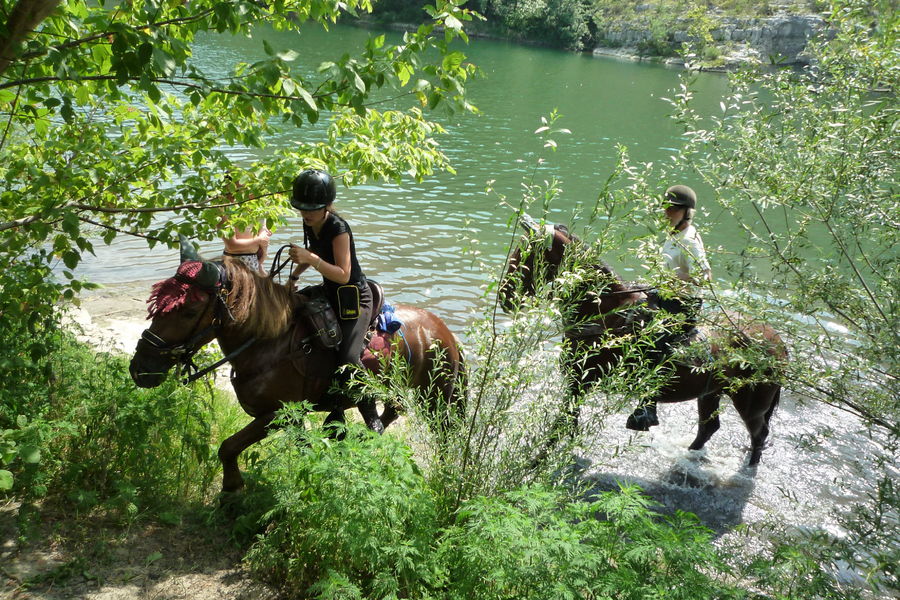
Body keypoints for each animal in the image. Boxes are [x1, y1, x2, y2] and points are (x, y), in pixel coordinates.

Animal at [132, 239, 464, 492]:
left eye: (189, 311)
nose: (140, 368)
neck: (267, 341)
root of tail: (445, 332)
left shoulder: (276, 414)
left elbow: (228, 446)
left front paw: (232, 488)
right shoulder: (290, 417)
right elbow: (293, 448)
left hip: (436, 399)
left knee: (444, 435)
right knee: (393, 410)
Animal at [500, 220, 788, 464]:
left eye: (527, 253)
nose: (505, 296)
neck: (606, 312)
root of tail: (777, 342)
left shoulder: (581, 383)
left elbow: (562, 425)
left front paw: (537, 461)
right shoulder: (577, 384)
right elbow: (567, 424)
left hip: (751, 404)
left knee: (758, 435)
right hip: (711, 393)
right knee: (709, 428)